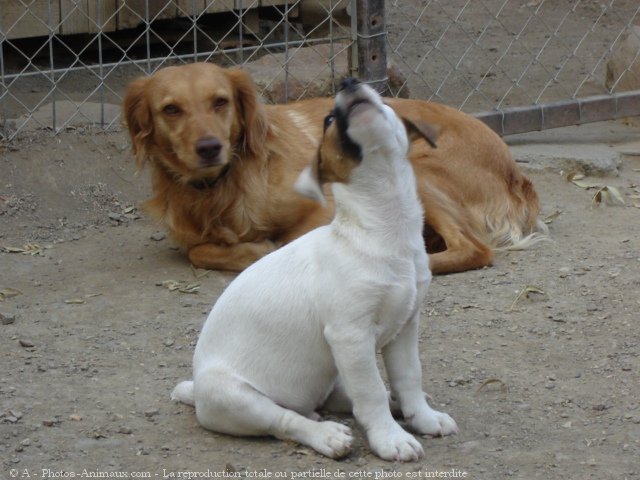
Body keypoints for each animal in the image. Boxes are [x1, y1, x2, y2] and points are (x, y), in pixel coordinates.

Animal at [124, 62, 544, 276]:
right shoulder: (196, 239)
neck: (222, 187)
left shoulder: (325, 207)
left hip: (411, 168)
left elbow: (291, 243)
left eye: (220, 102)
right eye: (171, 109)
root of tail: (518, 178)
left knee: (472, 248)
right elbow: (200, 252)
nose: (210, 148)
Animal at [172, 79, 458, 462]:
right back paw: (327, 435)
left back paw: (389, 405)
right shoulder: (350, 336)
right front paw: (390, 439)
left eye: (382, 100)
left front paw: (423, 417)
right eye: (327, 120)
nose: (349, 83)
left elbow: (409, 377)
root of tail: (197, 394)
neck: (383, 231)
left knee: (340, 398)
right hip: (235, 395)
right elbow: (370, 393)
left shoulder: (405, 326)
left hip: (331, 372)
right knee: (286, 420)